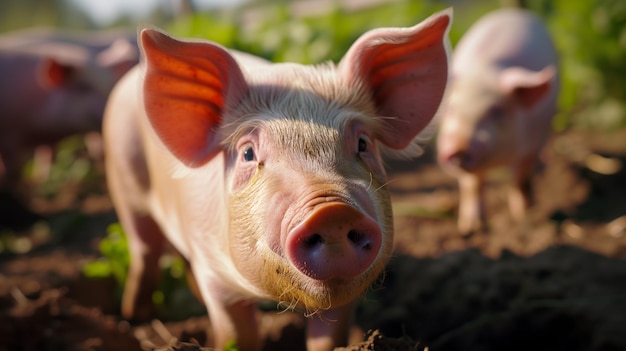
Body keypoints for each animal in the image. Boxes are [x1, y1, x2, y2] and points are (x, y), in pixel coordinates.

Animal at [0, 28, 136, 191]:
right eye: (83, 87)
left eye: (109, 86)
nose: (112, 113)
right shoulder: (10, 131)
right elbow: (13, 168)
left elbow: (48, 158)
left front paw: (45, 180)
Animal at [105, 8, 450, 351]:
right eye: (247, 153)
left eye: (363, 144)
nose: (332, 210)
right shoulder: (215, 275)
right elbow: (237, 334)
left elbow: (328, 337)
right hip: (124, 182)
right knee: (145, 250)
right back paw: (135, 316)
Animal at [434, 7, 556, 236]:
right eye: (450, 109)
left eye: (496, 111)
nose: (459, 148)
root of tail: (514, 11)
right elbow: (473, 186)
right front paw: (471, 229)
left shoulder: (534, 142)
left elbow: (519, 177)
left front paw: (523, 215)